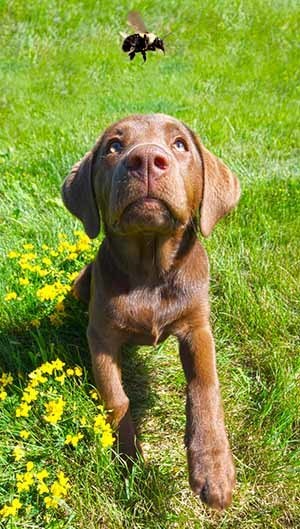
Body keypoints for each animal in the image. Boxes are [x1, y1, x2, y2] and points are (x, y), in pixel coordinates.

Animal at [62, 113, 240, 510]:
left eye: (180, 144)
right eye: (114, 146)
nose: (145, 160)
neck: (150, 271)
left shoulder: (197, 327)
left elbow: (205, 385)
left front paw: (213, 467)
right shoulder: (101, 337)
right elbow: (117, 399)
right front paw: (129, 461)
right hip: (82, 285)